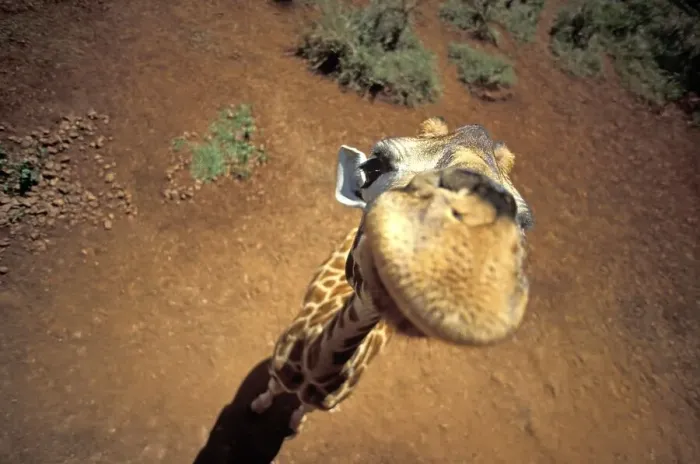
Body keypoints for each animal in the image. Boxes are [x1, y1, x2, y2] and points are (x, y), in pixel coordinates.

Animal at [249, 117, 534, 438]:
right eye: (375, 166)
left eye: (524, 222)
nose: (446, 270)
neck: (313, 372)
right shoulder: (277, 369)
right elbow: (270, 389)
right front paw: (257, 407)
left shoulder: (318, 401)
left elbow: (302, 412)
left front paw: (294, 427)